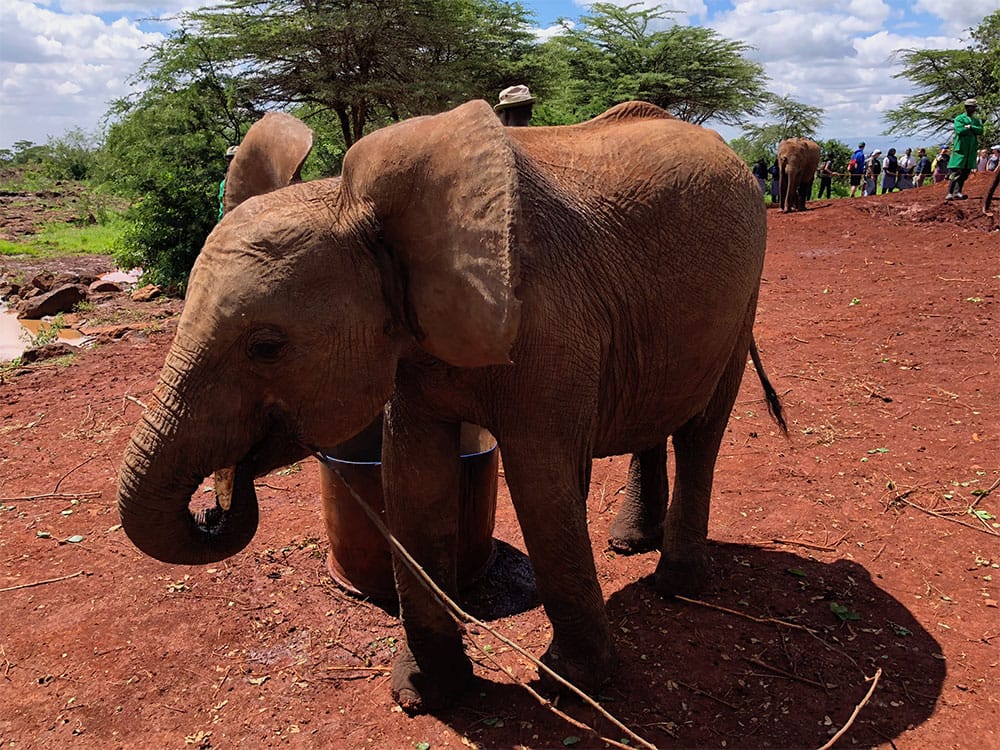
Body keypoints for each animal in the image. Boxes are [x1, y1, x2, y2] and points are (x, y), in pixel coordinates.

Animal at [117, 99, 786, 712]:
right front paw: (425, 695)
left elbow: (541, 485)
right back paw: (628, 545)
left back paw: (674, 583)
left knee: (701, 429)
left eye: (266, 346)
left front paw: (571, 685)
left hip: (746, 289)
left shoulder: (552, 322)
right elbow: (415, 483)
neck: (361, 210)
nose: (214, 507)